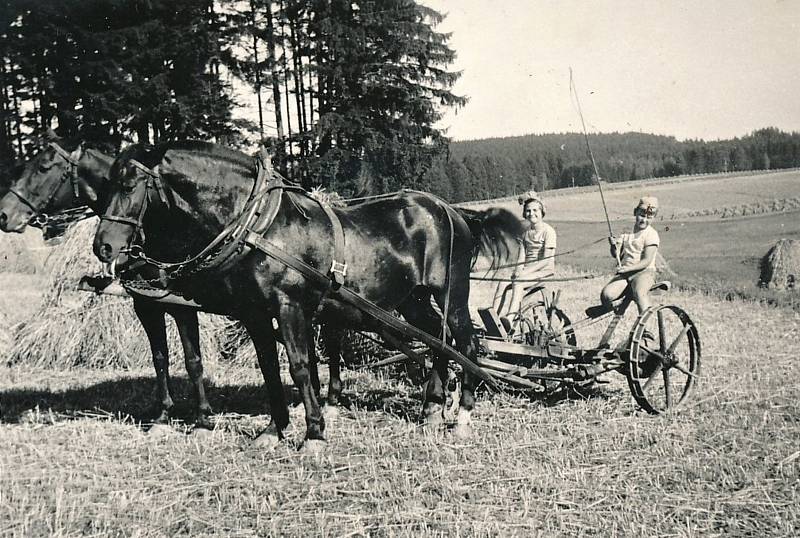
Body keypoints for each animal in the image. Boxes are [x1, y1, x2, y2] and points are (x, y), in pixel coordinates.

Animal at [94, 141, 520, 448]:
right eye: (103, 187)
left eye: (130, 185)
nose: (103, 246)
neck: (259, 227)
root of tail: (454, 212)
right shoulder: (253, 312)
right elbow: (269, 368)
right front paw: (273, 429)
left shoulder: (289, 306)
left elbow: (299, 366)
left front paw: (314, 433)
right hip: (412, 299)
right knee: (436, 339)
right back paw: (432, 406)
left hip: (451, 291)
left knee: (465, 342)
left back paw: (462, 415)